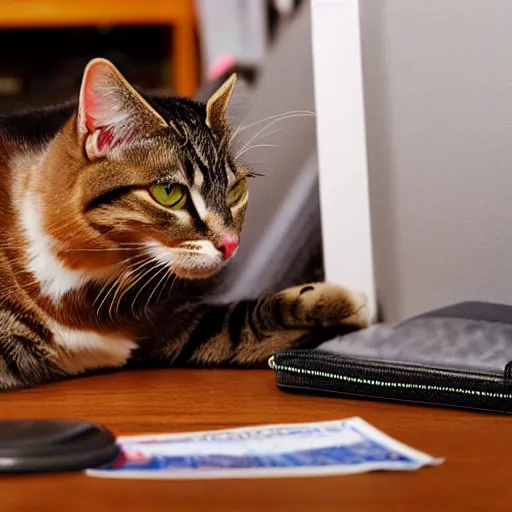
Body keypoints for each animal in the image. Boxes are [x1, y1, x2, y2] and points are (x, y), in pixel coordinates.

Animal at [0, 58, 370, 390]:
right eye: (169, 193)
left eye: (235, 190)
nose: (231, 244)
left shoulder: (166, 327)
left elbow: (234, 324)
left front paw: (330, 301)